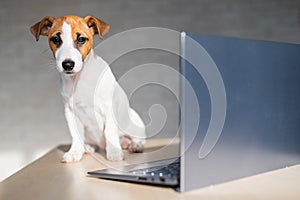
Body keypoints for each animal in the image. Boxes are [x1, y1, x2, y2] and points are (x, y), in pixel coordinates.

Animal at [30, 15, 146, 162]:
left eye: (81, 39)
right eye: (56, 39)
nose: (68, 64)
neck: (80, 79)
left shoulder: (108, 108)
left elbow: (110, 131)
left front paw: (114, 152)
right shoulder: (70, 112)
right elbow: (75, 135)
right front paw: (74, 152)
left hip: (134, 120)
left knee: (137, 137)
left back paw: (135, 145)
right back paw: (87, 148)